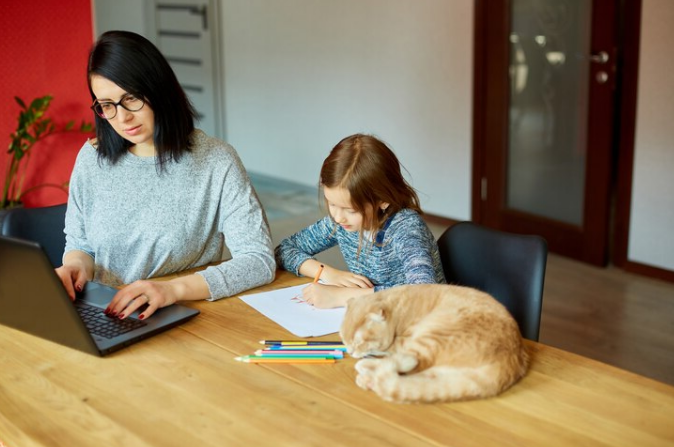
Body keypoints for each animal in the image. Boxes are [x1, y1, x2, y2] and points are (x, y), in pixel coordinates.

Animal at [338, 286, 528, 404]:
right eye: (343, 340)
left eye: (359, 342)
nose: (350, 352)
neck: (398, 310)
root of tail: (511, 358)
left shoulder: (402, 341)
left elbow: (387, 350)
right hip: (444, 373)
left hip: (430, 338)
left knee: (407, 366)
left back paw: (366, 372)